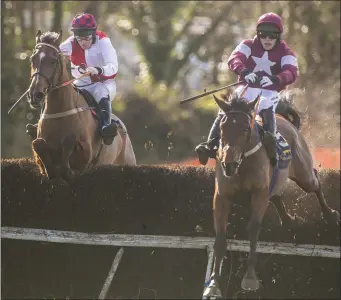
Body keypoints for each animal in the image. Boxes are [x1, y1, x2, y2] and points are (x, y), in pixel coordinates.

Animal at [27, 29, 136, 183]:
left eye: (53, 61)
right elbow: (37, 144)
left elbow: (69, 142)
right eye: (33, 59)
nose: (35, 95)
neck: (59, 110)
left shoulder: (85, 157)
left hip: (127, 162)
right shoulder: (41, 163)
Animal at [202, 88, 338, 298]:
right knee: (276, 196)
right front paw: (214, 283)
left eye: (245, 128)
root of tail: (286, 119)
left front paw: (250, 278)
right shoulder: (222, 196)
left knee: (314, 182)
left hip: (303, 173)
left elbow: (253, 228)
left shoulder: (259, 193)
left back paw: (330, 215)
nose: (228, 163)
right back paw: (288, 220)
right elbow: (220, 236)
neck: (242, 163)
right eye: (222, 126)